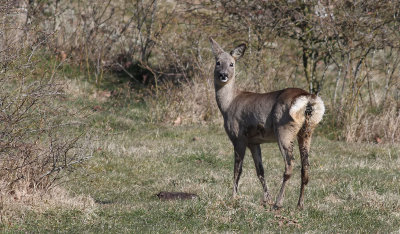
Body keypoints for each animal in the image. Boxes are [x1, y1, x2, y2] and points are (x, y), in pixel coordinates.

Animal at [209, 37, 324, 209]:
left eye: (232, 64)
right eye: (218, 62)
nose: (223, 75)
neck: (228, 104)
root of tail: (308, 98)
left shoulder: (238, 136)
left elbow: (237, 169)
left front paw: (234, 197)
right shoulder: (254, 141)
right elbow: (260, 171)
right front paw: (266, 198)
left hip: (284, 129)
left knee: (290, 164)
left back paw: (278, 202)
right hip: (307, 130)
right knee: (306, 167)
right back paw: (299, 204)